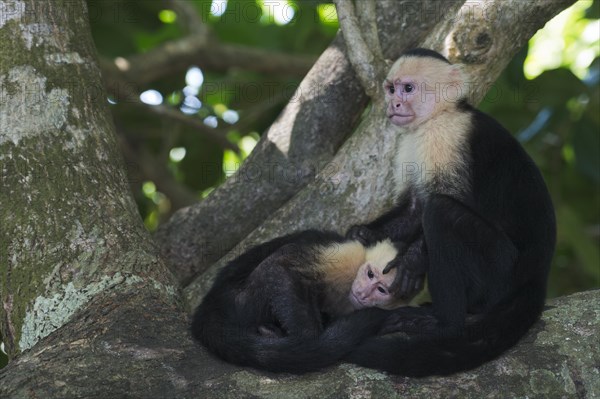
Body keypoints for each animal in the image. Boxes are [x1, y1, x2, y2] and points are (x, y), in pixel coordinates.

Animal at [192, 230, 418, 374]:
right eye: (370, 274)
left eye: (381, 290)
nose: (362, 294)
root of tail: (212, 302)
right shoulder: (349, 256)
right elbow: (280, 267)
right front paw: (308, 345)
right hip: (242, 301)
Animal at [344, 48, 556, 376]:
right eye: (391, 89)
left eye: (408, 89)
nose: (393, 104)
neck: (438, 116)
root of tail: (536, 276)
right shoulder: (412, 142)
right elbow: (414, 208)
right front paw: (365, 232)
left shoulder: (446, 137)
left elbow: (439, 204)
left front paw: (414, 260)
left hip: (499, 270)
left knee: (442, 213)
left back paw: (445, 324)